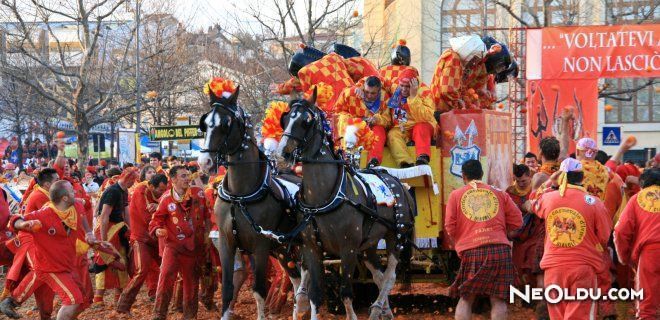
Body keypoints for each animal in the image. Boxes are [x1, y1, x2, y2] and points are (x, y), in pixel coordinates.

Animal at [197, 87, 308, 320]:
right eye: (206, 123)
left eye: (226, 123)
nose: (204, 162)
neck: (240, 197)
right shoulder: (227, 244)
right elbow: (228, 289)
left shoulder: (260, 247)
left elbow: (259, 291)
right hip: (281, 249)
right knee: (295, 278)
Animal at [278, 91, 412, 318]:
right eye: (286, 119)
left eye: (306, 121)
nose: (283, 151)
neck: (323, 198)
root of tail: (397, 182)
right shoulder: (312, 249)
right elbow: (315, 294)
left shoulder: (348, 249)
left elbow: (346, 293)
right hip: (369, 244)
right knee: (379, 276)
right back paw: (384, 312)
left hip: (396, 237)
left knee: (389, 277)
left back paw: (377, 308)